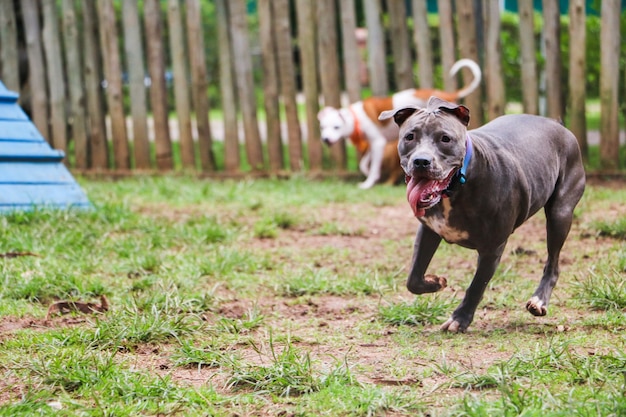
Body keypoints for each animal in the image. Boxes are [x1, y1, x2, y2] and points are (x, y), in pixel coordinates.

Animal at [316, 58, 482, 188]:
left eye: (336, 127)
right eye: (322, 127)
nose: (326, 139)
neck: (355, 117)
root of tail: (446, 94)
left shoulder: (378, 143)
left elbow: (373, 166)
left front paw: (368, 183)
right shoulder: (373, 144)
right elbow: (364, 164)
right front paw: (368, 174)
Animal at [378, 96, 588, 332]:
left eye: (445, 139)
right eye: (410, 137)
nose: (421, 161)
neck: (457, 185)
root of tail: (558, 125)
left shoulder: (492, 248)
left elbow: (477, 285)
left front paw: (460, 319)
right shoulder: (429, 231)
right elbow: (413, 278)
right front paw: (436, 282)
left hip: (560, 214)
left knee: (553, 262)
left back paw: (539, 300)